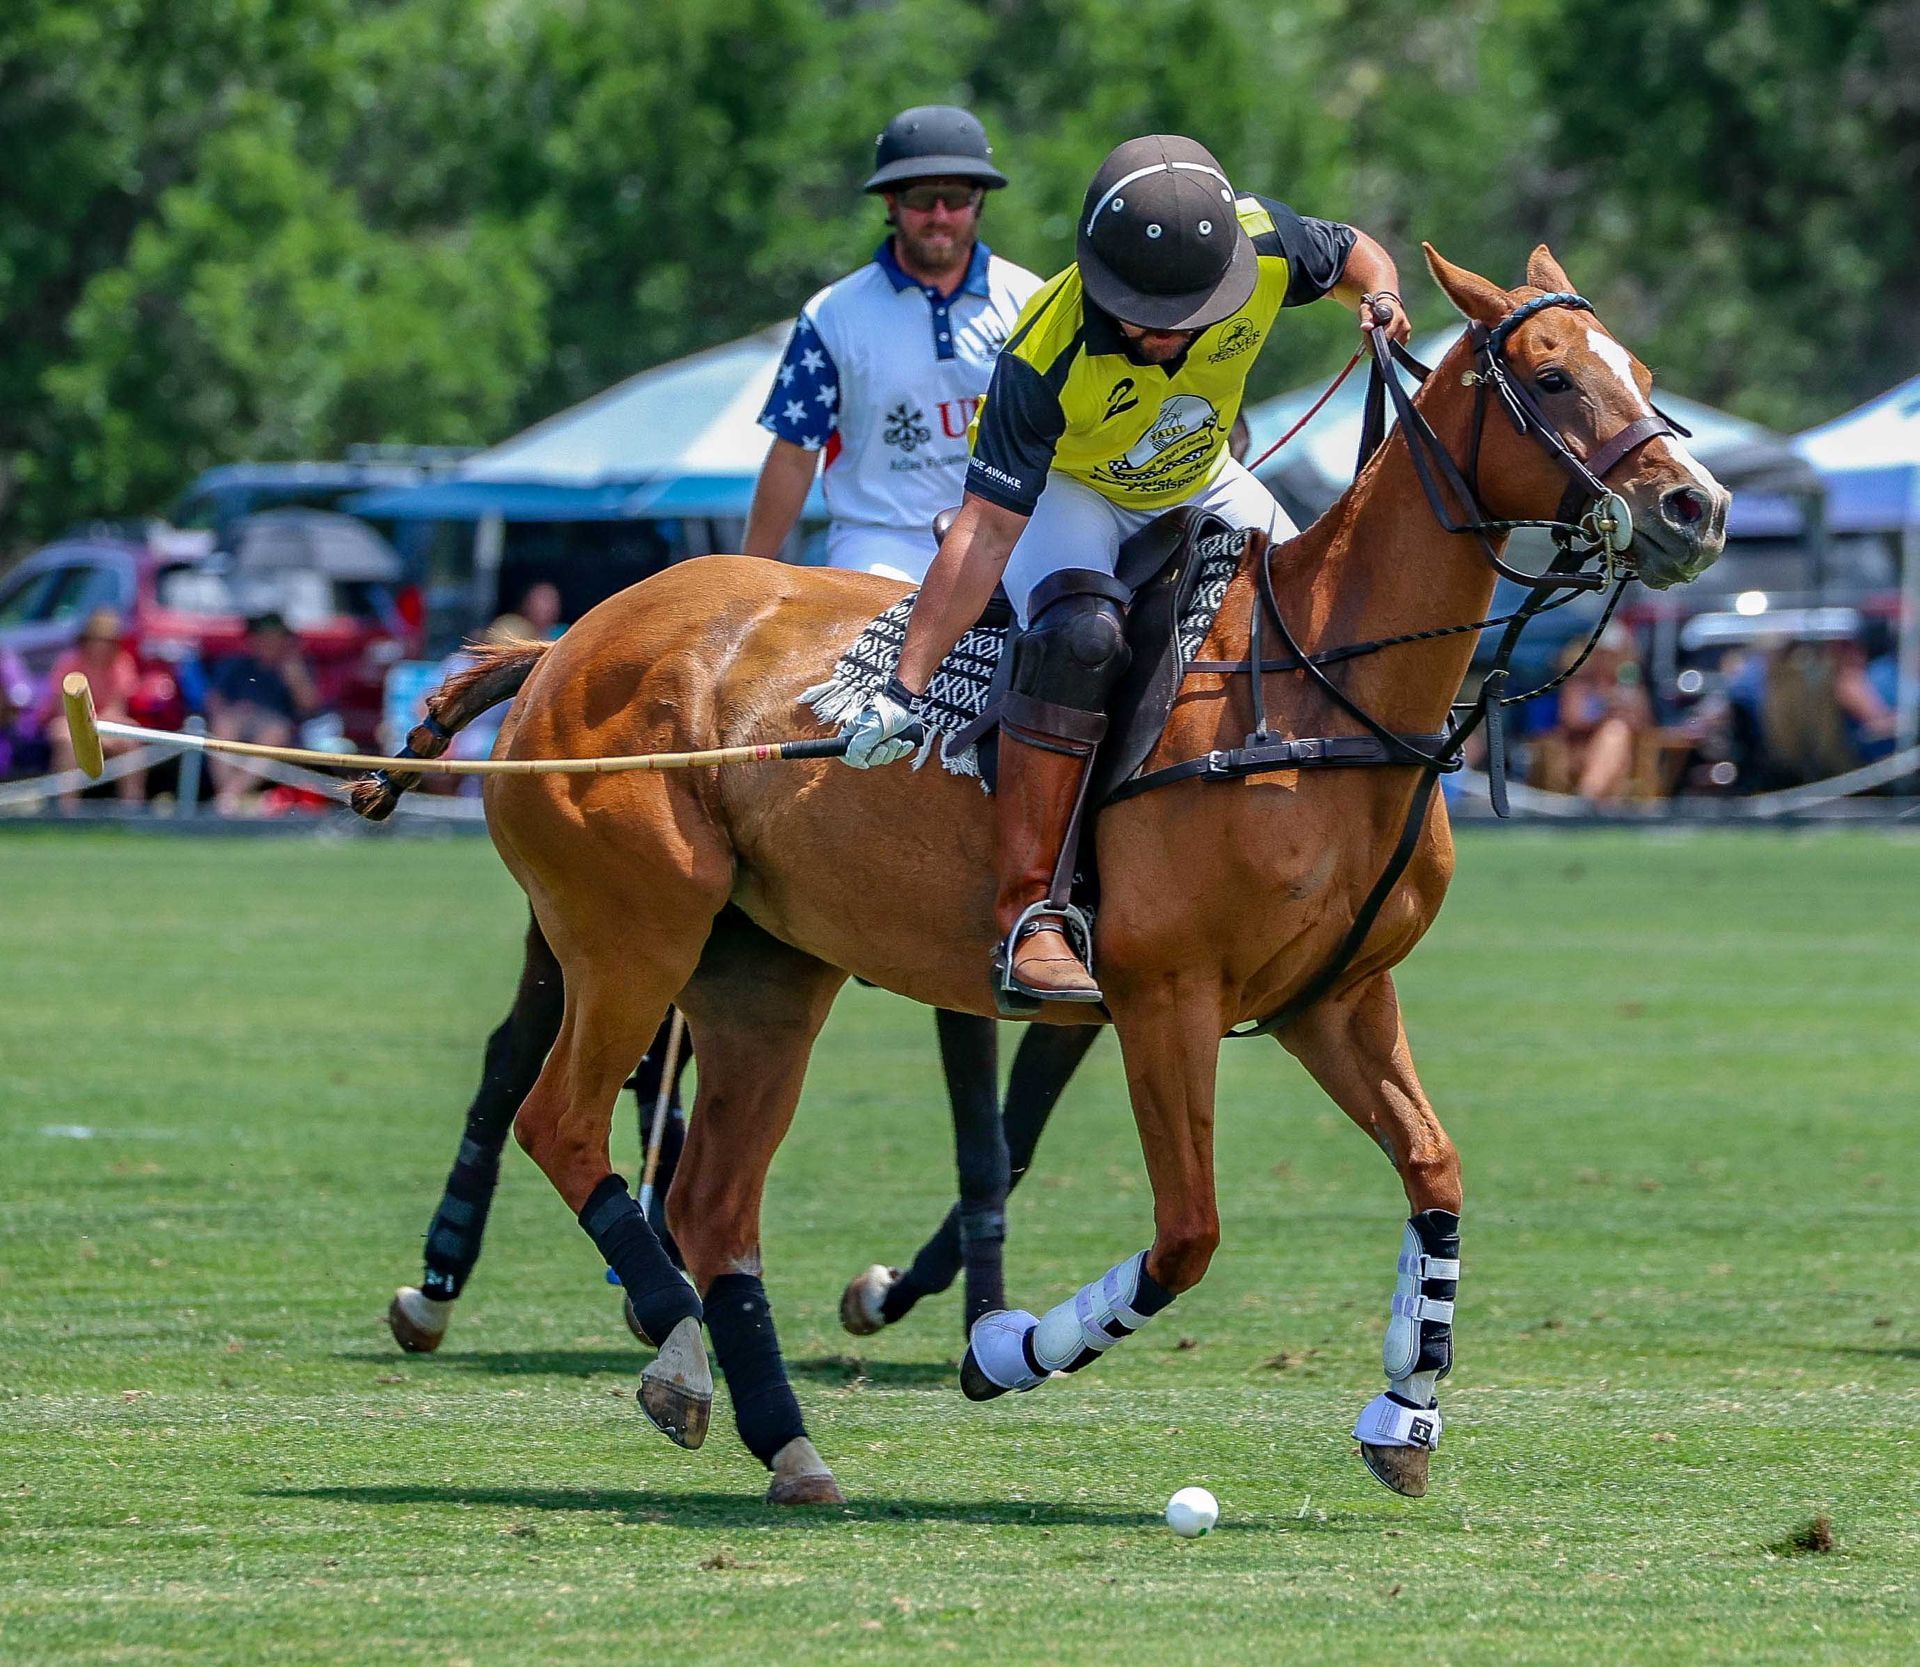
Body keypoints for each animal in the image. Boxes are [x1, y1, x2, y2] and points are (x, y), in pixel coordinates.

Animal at [360, 244, 1727, 1505]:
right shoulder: (1165, 995)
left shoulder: (1336, 998)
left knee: (711, 1199)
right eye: (1550, 376)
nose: (1696, 509)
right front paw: (1002, 1347)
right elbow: (1185, 1234)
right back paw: (650, 1330)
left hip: (764, 973)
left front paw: (1406, 1411)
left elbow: (1435, 1171)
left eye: (1645, 377)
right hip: (630, 929)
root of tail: (560, 642)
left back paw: (779, 1433)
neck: (1324, 684)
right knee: (559, 1113)